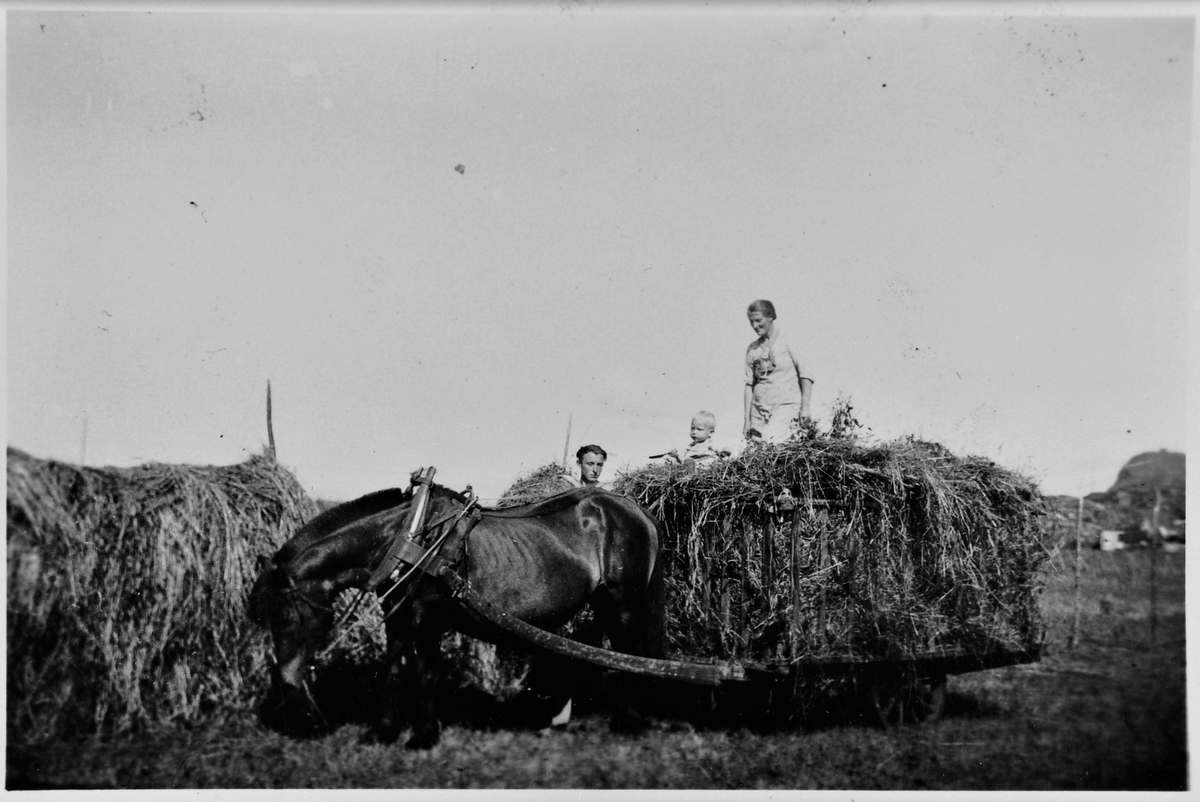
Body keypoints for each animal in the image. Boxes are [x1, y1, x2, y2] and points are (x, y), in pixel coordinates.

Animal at [249, 480, 672, 749]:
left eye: (283, 616)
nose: (286, 684)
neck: (410, 537)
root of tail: (634, 508)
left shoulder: (427, 619)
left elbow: (425, 673)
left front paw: (423, 738)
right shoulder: (397, 618)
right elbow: (392, 670)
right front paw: (381, 733)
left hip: (625, 604)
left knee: (631, 654)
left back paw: (629, 722)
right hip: (605, 604)